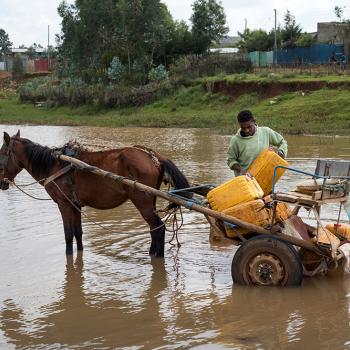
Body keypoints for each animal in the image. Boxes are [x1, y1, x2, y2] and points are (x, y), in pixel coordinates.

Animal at [0, 131, 191, 258]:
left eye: (2, 152)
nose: (2, 183)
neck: (55, 164)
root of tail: (152, 156)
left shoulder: (64, 204)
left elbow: (68, 234)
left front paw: (68, 255)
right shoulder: (75, 204)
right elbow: (78, 233)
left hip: (142, 201)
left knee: (159, 228)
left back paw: (158, 257)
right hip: (151, 200)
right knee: (154, 228)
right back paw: (151, 254)